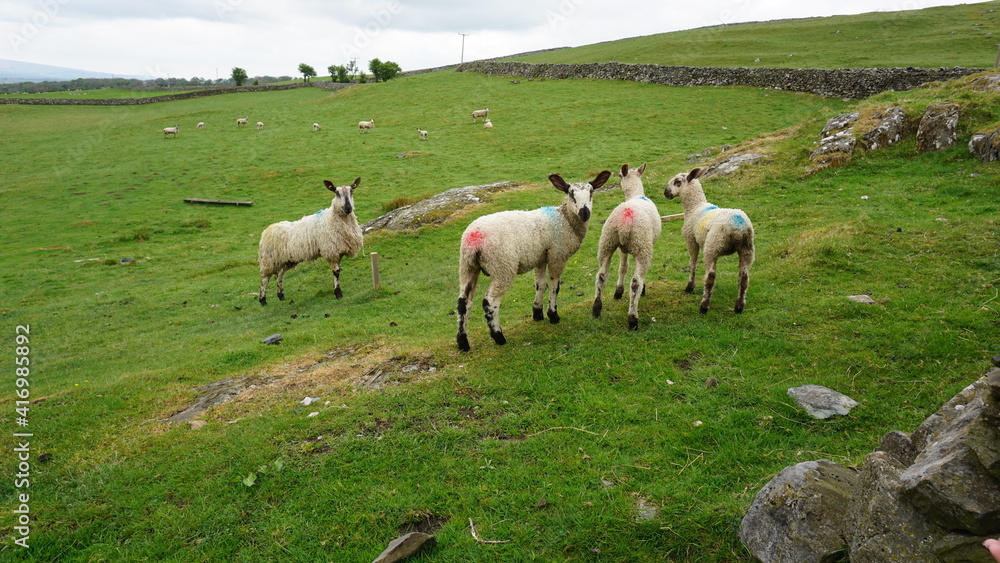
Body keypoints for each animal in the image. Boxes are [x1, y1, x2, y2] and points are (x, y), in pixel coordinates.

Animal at [257, 177, 363, 306]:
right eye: (336, 193)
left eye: (351, 191)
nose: (348, 208)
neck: (335, 218)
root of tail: (266, 230)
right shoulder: (331, 251)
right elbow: (336, 271)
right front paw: (338, 293)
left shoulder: (339, 251)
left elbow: (338, 271)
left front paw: (338, 291)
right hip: (269, 260)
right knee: (265, 279)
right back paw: (263, 300)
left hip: (288, 260)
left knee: (280, 275)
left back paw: (281, 295)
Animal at [456, 169, 611, 351]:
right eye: (571, 193)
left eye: (591, 192)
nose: (584, 213)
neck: (565, 220)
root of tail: (474, 238)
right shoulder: (557, 255)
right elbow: (555, 286)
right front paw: (553, 315)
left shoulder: (540, 257)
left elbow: (541, 285)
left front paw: (537, 313)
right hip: (502, 266)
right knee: (490, 301)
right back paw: (499, 337)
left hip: (467, 266)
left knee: (463, 302)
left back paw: (463, 342)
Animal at [592, 163, 662, 330]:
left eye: (618, 176)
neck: (635, 194)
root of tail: (625, 221)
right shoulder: (646, 245)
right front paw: (642, 289)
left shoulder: (622, 248)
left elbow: (623, 267)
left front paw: (618, 291)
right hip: (642, 246)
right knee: (636, 282)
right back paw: (632, 319)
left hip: (607, 242)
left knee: (601, 275)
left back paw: (596, 309)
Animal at [663, 167, 755, 314]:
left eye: (677, 181)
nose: (666, 192)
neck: (694, 206)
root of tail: (737, 226)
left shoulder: (691, 240)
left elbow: (692, 263)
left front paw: (690, 286)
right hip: (747, 249)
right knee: (744, 279)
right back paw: (738, 307)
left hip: (712, 246)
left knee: (710, 278)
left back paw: (704, 306)